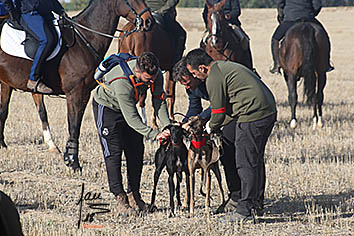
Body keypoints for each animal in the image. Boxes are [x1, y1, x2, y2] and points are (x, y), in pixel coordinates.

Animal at [0, 0, 154, 171]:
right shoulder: (75, 92)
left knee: (8, 110)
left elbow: (76, 124)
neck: (84, 40)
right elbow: (73, 125)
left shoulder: (84, 93)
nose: (149, 21)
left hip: (6, 83)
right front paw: (73, 163)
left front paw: (69, 158)